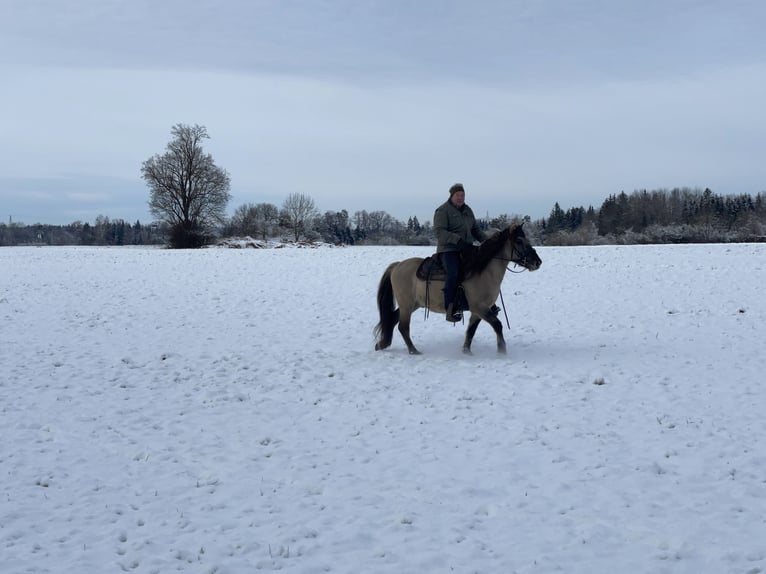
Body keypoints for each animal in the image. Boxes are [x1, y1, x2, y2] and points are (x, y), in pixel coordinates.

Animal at [374, 224, 544, 356]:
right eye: (519, 241)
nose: (537, 262)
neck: (484, 272)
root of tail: (397, 265)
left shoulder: (478, 311)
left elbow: (471, 331)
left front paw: (466, 351)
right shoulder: (480, 307)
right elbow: (497, 325)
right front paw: (502, 351)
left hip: (413, 304)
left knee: (392, 319)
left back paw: (382, 344)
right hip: (407, 305)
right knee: (403, 326)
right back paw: (413, 350)